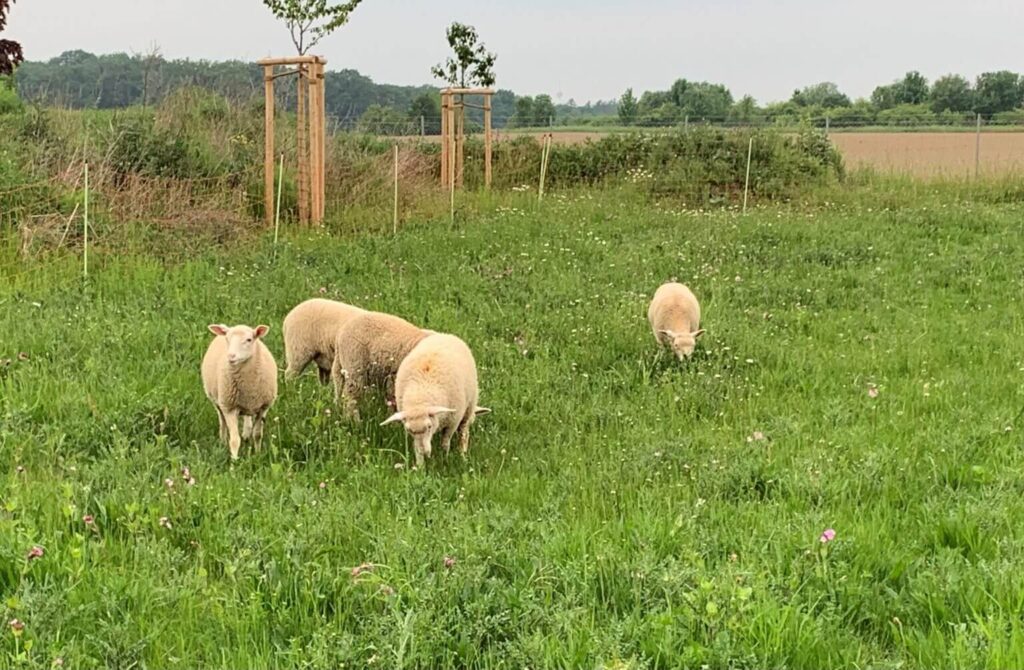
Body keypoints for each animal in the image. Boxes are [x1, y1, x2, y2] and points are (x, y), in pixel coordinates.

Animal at [201, 324, 279, 460]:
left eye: (249, 340)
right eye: (227, 339)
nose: (231, 356)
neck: (248, 385)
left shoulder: (263, 407)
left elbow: (257, 434)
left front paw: (258, 455)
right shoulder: (229, 407)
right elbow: (234, 440)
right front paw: (235, 461)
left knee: (247, 418)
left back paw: (246, 433)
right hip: (218, 402)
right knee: (222, 422)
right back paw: (222, 442)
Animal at [381, 333, 490, 468]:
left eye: (429, 426)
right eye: (408, 430)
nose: (424, 451)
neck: (420, 398)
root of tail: (445, 335)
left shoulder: (452, 422)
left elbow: (445, 442)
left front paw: (445, 458)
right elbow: (416, 448)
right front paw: (420, 466)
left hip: (469, 404)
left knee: (463, 431)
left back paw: (462, 453)